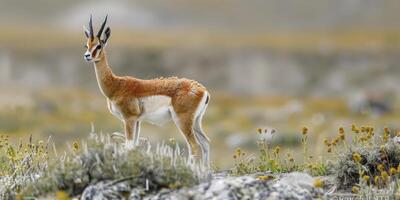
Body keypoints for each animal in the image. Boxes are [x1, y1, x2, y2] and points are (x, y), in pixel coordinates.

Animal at [83, 15, 211, 166]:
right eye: (86, 45)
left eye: (99, 45)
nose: (87, 55)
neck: (116, 85)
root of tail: (203, 90)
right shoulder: (138, 121)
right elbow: (134, 146)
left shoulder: (129, 119)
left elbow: (129, 145)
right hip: (196, 122)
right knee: (206, 143)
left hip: (183, 122)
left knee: (195, 147)